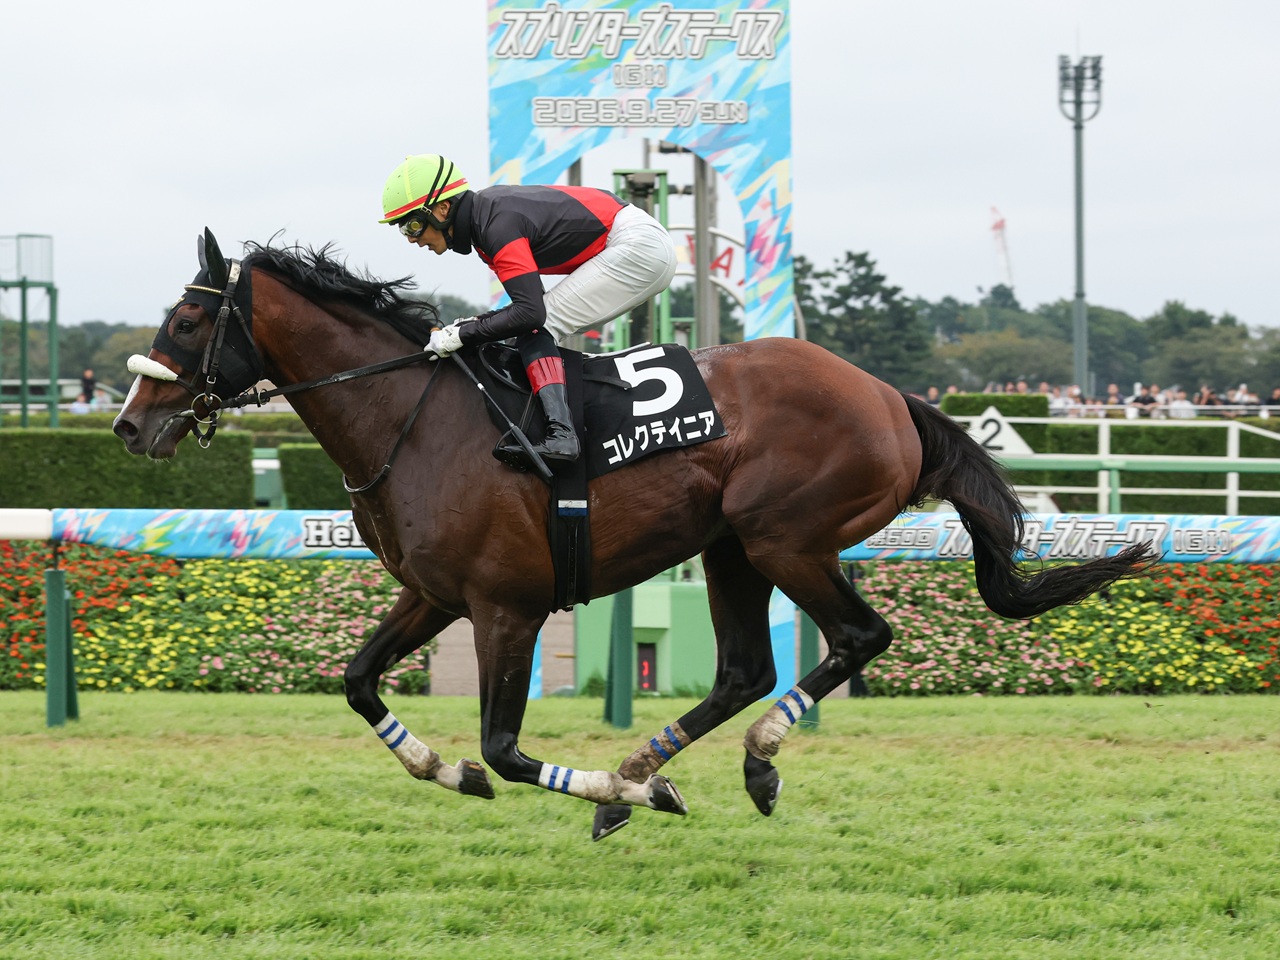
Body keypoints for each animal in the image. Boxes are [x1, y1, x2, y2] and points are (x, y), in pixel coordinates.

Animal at [114, 230, 1158, 840]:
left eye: (188, 319)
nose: (128, 424)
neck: (414, 417)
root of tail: (891, 395)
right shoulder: (434, 593)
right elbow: (360, 682)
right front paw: (446, 770)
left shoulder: (507, 606)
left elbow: (506, 746)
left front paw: (580, 788)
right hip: (731, 547)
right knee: (742, 669)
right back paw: (643, 771)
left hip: (785, 538)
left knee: (856, 638)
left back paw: (736, 767)